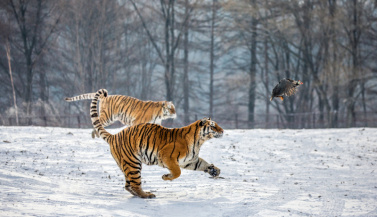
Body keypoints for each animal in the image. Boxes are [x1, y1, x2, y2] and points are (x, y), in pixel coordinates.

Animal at [89, 88, 222, 198]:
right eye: (213, 126)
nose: (222, 130)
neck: (199, 141)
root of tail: (114, 136)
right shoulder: (167, 156)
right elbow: (177, 172)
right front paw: (165, 177)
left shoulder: (190, 160)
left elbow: (203, 164)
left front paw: (214, 170)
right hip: (133, 163)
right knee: (135, 184)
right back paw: (147, 195)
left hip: (127, 164)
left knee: (128, 186)